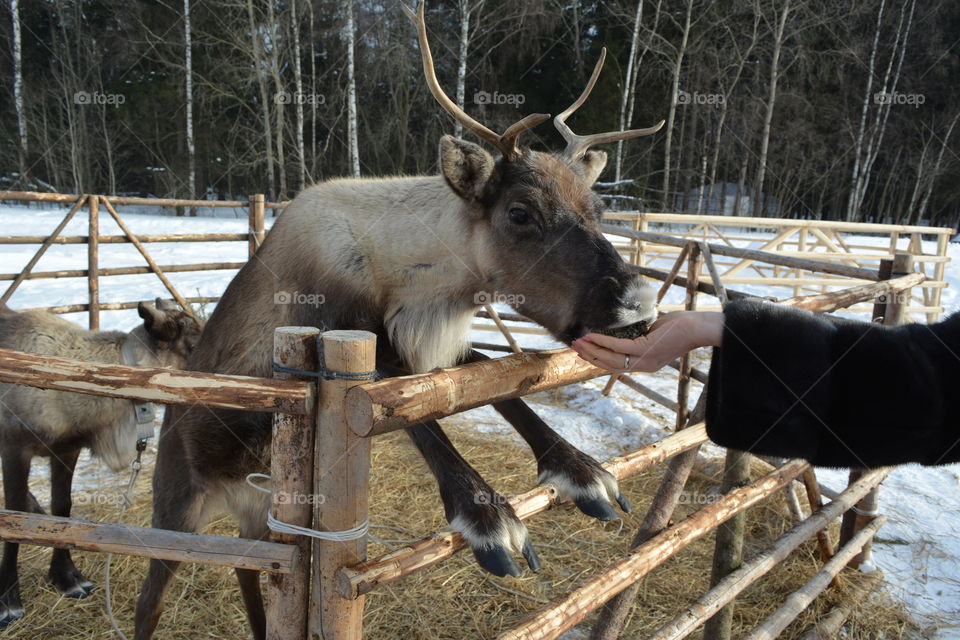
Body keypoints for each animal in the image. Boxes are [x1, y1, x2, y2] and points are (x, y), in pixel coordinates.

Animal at [0, 299, 201, 627]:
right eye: (194, 343)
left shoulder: (66, 449)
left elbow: (62, 508)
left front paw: (68, 579)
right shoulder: (13, 447)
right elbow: (13, 516)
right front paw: (8, 601)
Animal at [134, 5, 663, 639]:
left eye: (598, 208)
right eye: (520, 212)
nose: (639, 303)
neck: (417, 272)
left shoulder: (430, 345)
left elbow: (500, 385)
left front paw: (578, 468)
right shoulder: (347, 337)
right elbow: (413, 414)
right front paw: (487, 515)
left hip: (261, 515)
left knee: (253, 571)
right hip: (176, 509)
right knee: (149, 601)